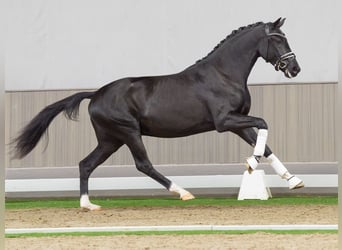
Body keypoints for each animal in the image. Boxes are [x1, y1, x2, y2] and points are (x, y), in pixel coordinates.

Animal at [13, 17, 304, 211]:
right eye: (277, 39)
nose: (295, 69)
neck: (224, 74)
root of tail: (95, 94)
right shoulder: (225, 121)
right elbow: (264, 124)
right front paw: (251, 163)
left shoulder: (237, 122)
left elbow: (265, 143)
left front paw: (293, 180)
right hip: (128, 133)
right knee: (143, 164)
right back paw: (183, 192)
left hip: (110, 139)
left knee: (86, 164)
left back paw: (88, 205)